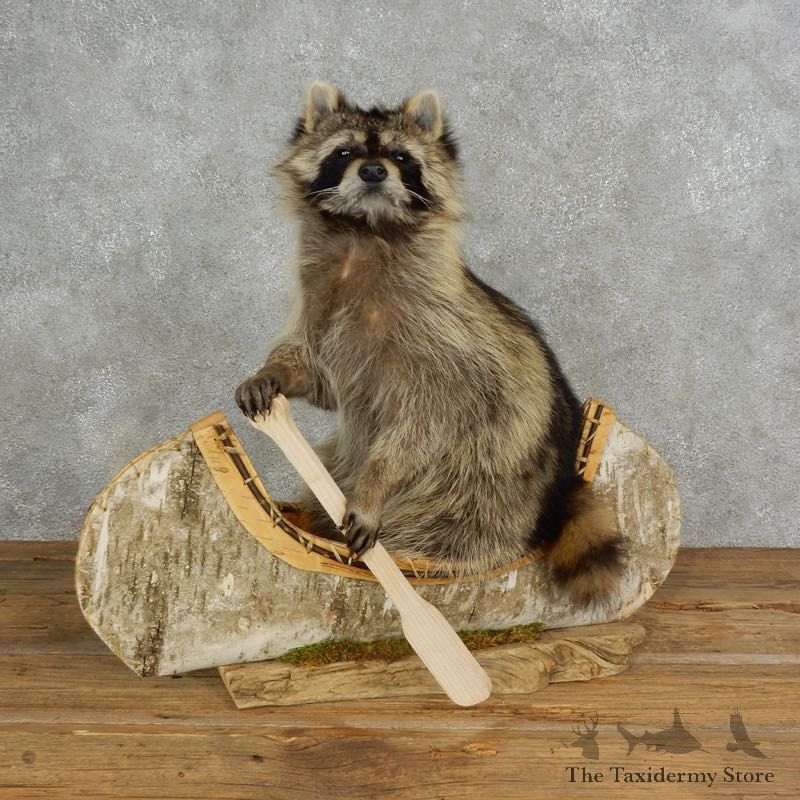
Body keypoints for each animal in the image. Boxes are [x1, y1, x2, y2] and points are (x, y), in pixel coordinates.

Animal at [235, 82, 624, 605]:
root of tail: (560, 486)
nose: (374, 170)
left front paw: (374, 486)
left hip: (484, 499)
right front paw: (274, 372)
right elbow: (321, 379)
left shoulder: (441, 341)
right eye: (345, 152)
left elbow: (426, 421)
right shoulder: (320, 309)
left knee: (447, 524)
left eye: (401, 156)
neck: (364, 230)